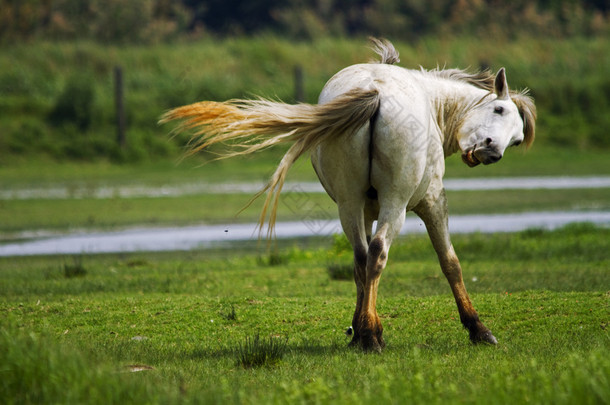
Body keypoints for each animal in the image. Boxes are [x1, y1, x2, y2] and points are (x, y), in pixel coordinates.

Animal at [160, 38, 532, 350]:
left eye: (516, 140)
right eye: (499, 111)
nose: (492, 151)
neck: (432, 101)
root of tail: (375, 91)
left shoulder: (365, 209)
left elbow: (360, 267)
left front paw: (357, 327)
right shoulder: (433, 201)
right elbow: (450, 263)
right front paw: (478, 329)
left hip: (349, 204)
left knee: (362, 257)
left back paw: (366, 333)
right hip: (395, 204)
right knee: (378, 253)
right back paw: (372, 337)